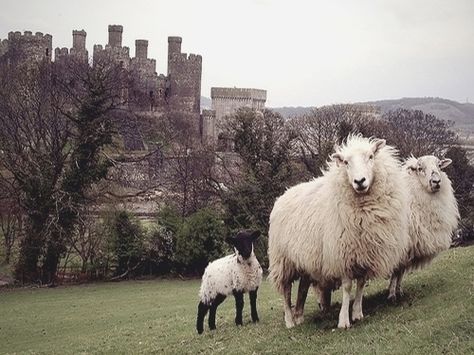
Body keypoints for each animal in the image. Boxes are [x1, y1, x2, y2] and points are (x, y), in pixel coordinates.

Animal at [268, 135, 410, 330]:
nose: (359, 181)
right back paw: (290, 321)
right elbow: (348, 287)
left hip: (304, 260)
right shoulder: (342, 253)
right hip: (282, 259)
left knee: (303, 287)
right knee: (285, 290)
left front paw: (357, 313)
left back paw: (299, 316)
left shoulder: (365, 252)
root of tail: (283, 195)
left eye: (371, 156)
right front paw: (344, 320)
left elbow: (361, 284)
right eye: (346, 162)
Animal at [386, 156, 462, 300]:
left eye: (439, 165)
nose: (436, 181)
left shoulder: (408, 249)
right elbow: (397, 270)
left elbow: (401, 272)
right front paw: (392, 295)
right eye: (420, 168)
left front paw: (399, 291)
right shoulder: (400, 246)